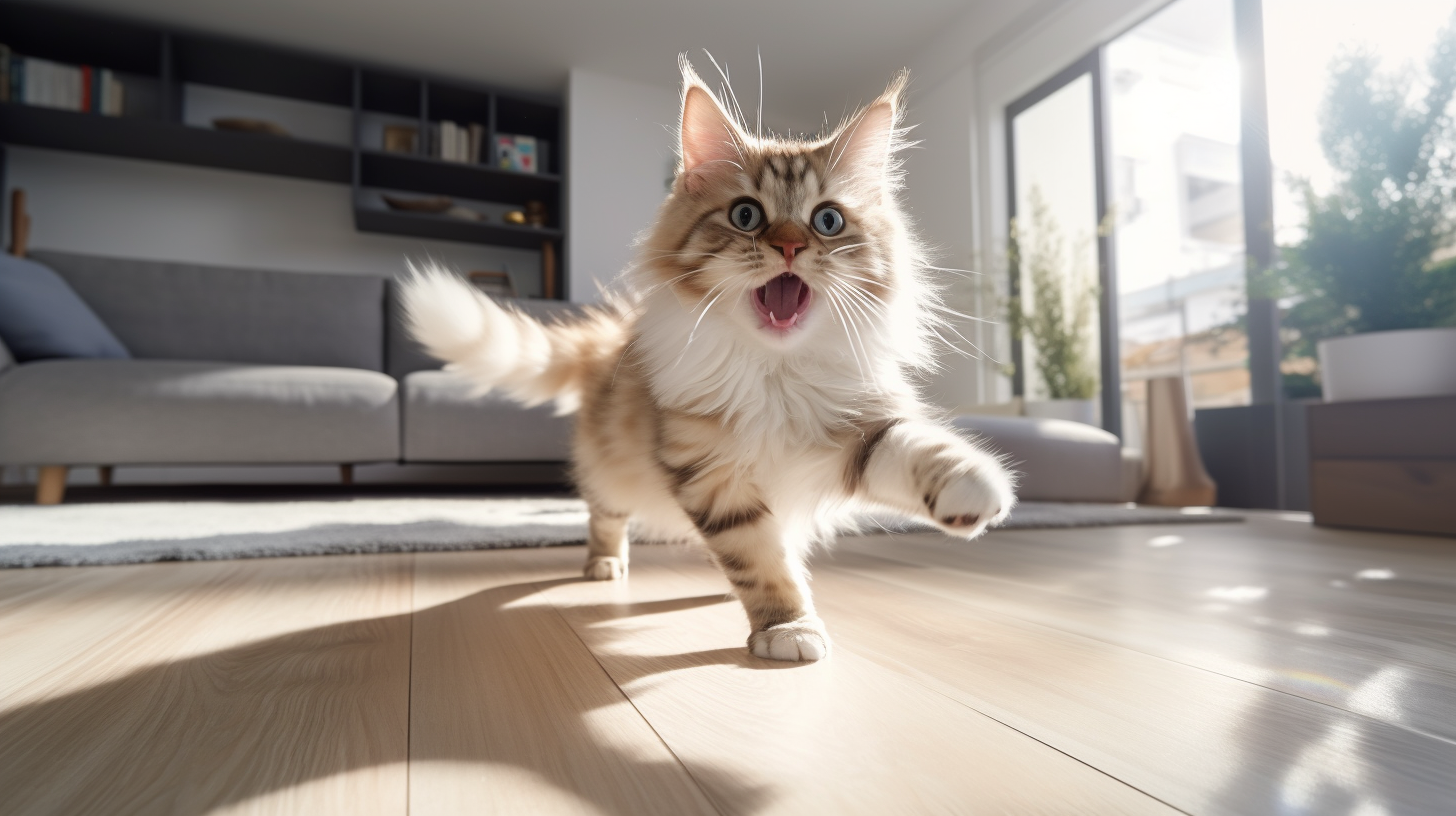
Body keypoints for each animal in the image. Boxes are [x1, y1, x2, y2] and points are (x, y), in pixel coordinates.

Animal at [398, 62, 1013, 664]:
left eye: (828, 222)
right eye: (746, 215)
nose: (790, 247)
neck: (774, 372)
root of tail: (611, 338)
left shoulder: (856, 429)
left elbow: (917, 449)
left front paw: (975, 489)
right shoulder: (710, 473)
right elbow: (757, 559)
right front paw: (787, 628)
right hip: (610, 469)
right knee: (604, 514)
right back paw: (604, 564)